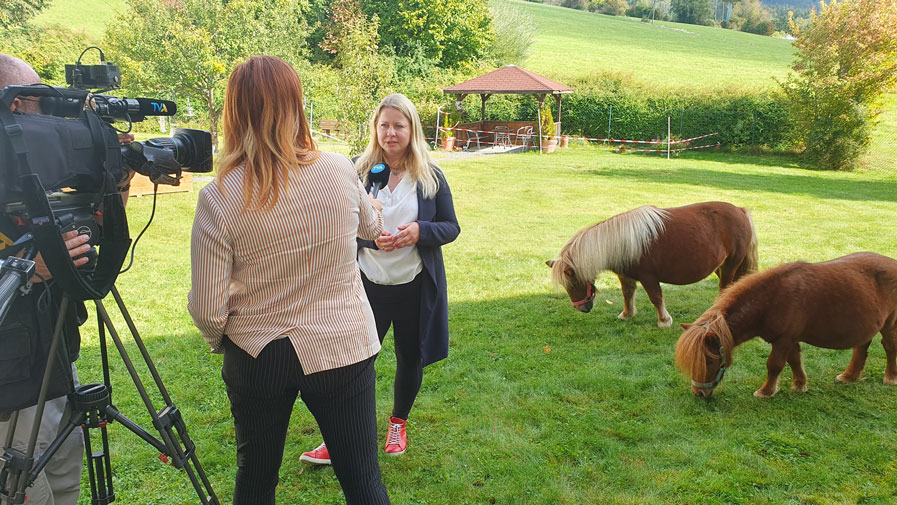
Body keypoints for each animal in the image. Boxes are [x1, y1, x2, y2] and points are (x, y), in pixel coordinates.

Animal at [544, 201, 756, 326]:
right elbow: (627, 294)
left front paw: (664, 321)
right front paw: (627, 314)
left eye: (572, 284)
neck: (624, 242)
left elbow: (655, 297)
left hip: (730, 266)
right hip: (720, 267)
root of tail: (740, 211)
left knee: (726, 287)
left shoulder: (649, 277)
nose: (582, 308)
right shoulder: (626, 276)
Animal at [676, 252, 896, 398]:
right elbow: (794, 360)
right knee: (861, 348)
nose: (698, 392)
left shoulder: (784, 339)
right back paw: (849, 376)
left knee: (889, 346)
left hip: (889, 324)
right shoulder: (789, 339)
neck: (772, 298)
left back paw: (890, 378)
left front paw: (766, 391)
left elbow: (774, 364)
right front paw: (800, 385)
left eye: (709, 361)